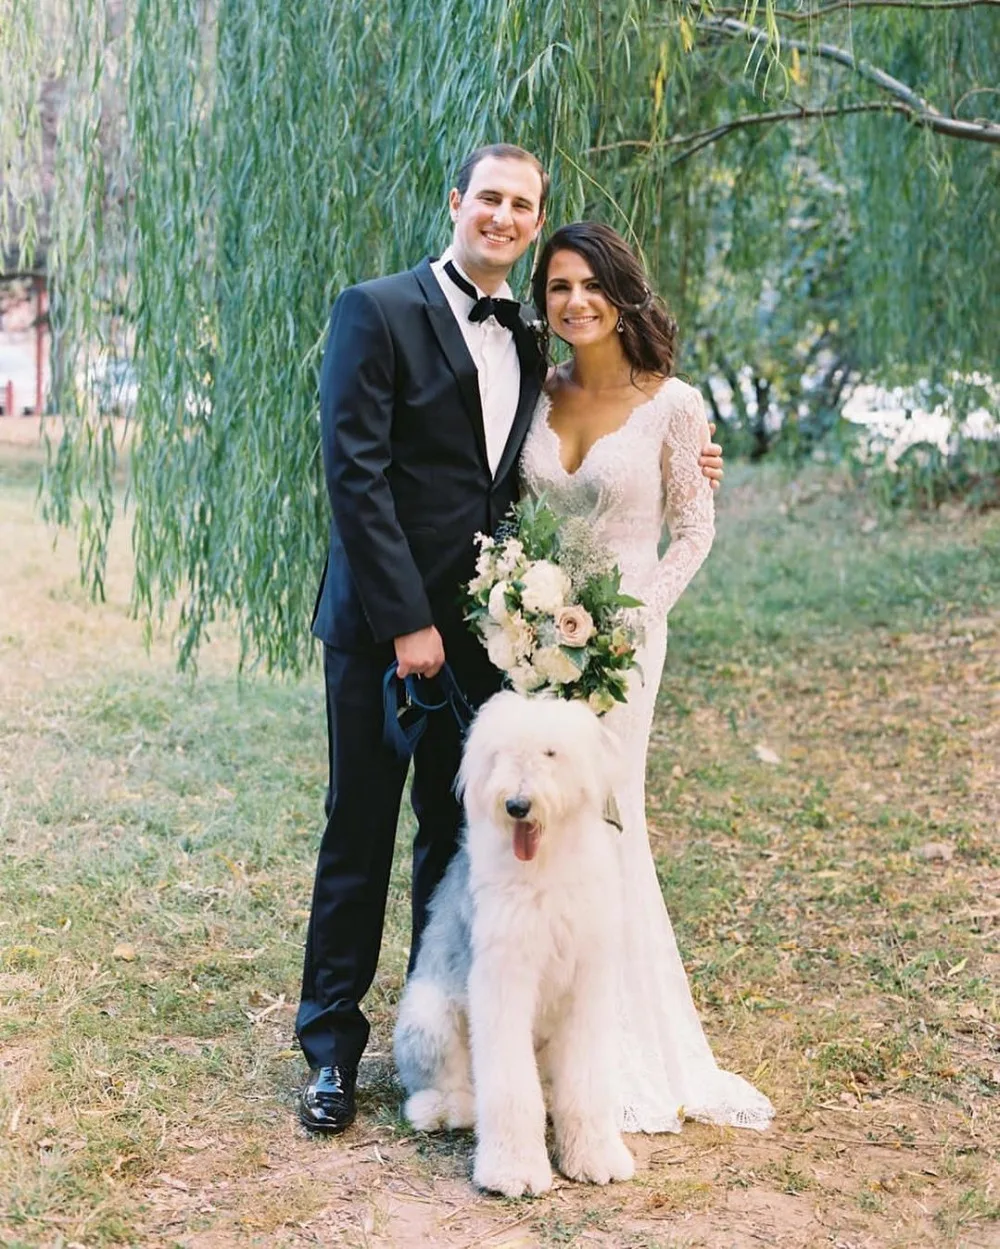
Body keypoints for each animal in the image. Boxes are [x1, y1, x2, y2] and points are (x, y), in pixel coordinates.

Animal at [389, 694, 631, 1199]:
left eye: (551, 753)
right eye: (500, 755)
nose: (517, 805)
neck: (547, 868)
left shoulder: (590, 980)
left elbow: (588, 1081)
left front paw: (596, 1157)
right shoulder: (503, 980)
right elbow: (511, 1089)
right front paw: (513, 1171)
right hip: (427, 1014)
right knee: (437, 1087)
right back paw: (447, 1110)